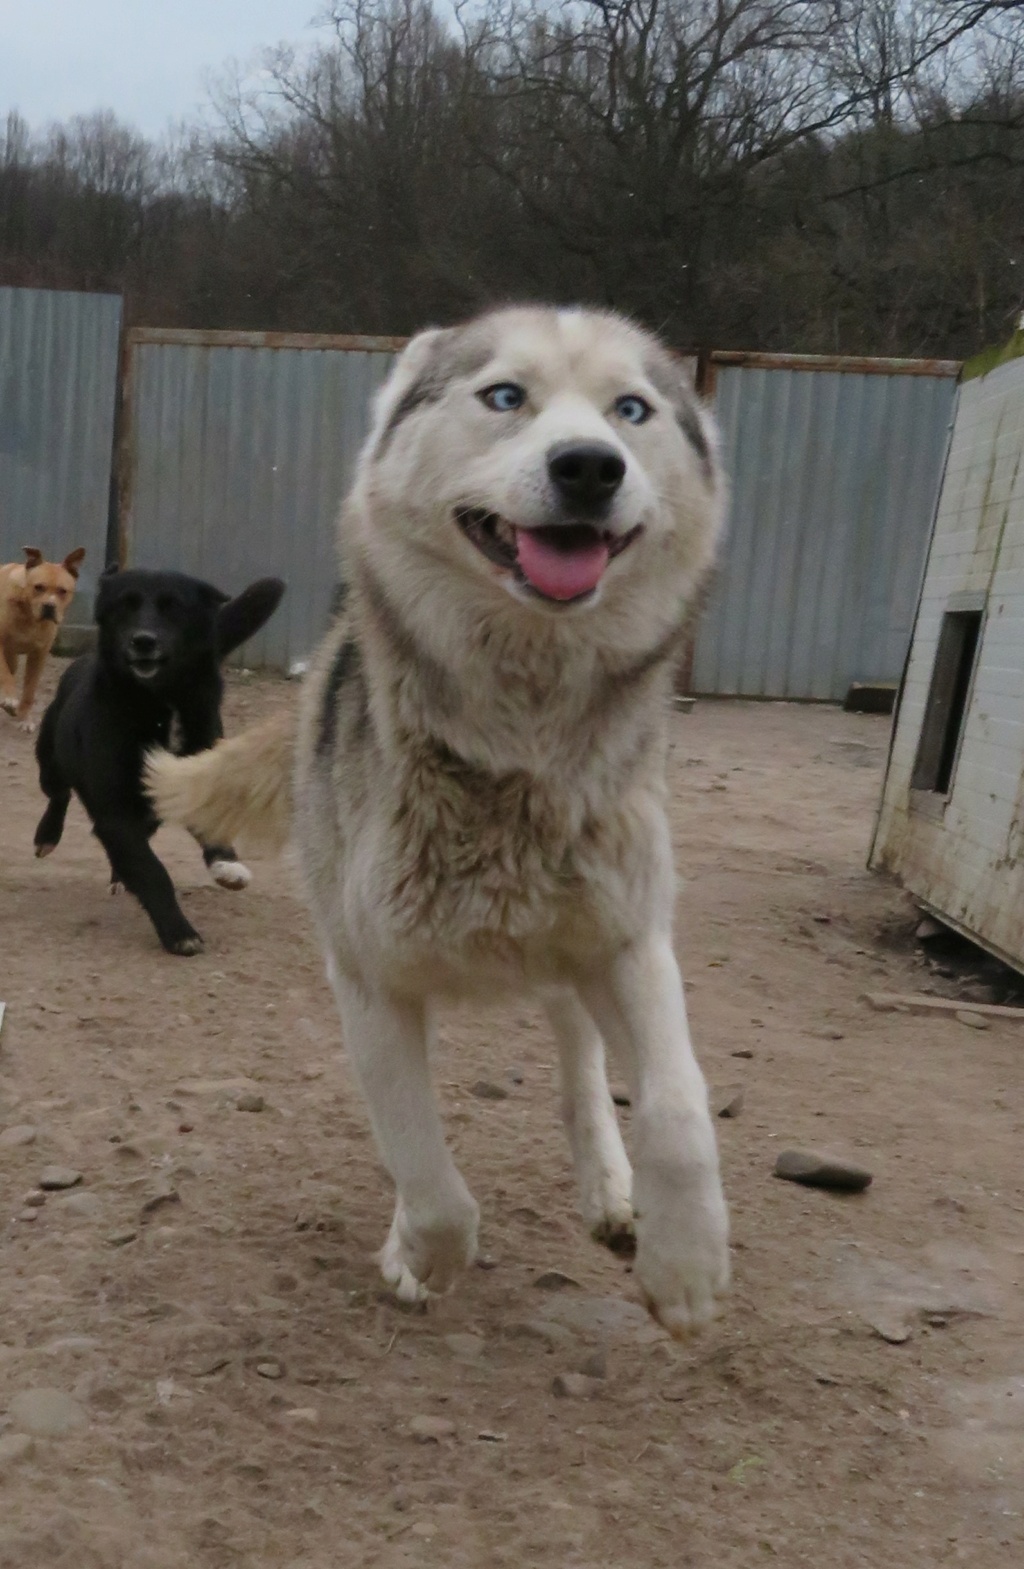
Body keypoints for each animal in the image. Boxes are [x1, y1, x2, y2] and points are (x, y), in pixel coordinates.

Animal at [0, 546, 84, 728]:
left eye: (62, 591)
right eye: (38, 587)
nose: (49, 606)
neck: (28, 614)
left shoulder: (39, 654)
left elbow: (30, 689)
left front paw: (25, 718)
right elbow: (5, 674)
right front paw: (9, 697)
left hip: (13, 658)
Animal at [33, 567, 283, 953]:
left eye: (173, 607)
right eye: (126, 605)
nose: (143, 641)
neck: (161, 702)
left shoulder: (197, 781)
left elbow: (211, 831)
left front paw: (227, 865)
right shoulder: (116, 812)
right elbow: (153, 872)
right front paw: (179, 932)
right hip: (51, 762)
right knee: (58, 794)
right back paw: (48, 835)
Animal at [149, 302, 727, 1336]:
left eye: (632, 410)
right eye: (504, 396)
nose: (591, 465)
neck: (514, 747)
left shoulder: (631, 938)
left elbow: (677, 1108)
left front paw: (687, 1265)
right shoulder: (368, 979)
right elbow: (424, 1163)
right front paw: (421, 1254)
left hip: (575, 952)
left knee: (584, 1059)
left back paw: (611, 1188)